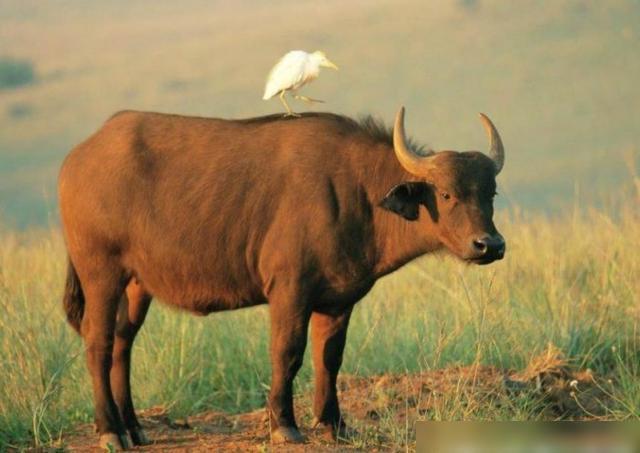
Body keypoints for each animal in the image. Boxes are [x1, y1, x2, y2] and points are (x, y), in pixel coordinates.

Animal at [58, 107, 504, 448]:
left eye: (491, 193)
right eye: (446, 194)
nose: (490, 245)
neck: (358, 193)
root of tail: (77, 159)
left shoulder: (339, 301)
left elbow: (330, 358)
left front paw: (333, 423)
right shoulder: (289, 291)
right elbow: (287, 353)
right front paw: (285, 425)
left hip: (137, 286)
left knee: (122, 345)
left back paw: (134, 428)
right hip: (100, 274)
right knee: (97, 344)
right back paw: (110, 432)